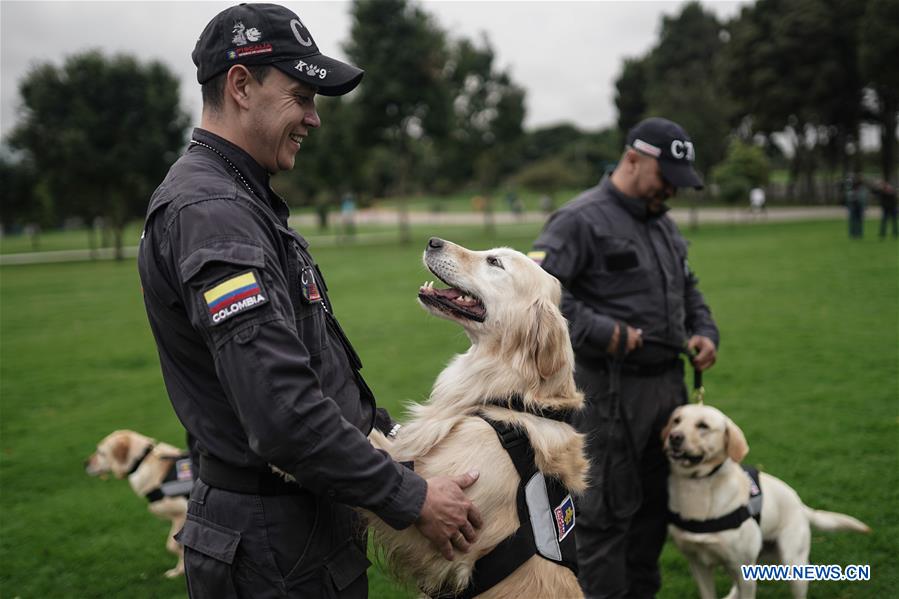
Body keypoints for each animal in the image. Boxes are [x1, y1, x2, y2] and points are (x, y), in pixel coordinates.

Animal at [84, 428, 192, 580]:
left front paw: (180, 570)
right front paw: (178, 571)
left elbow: (171, 545)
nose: (85, 463)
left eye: (101, 452)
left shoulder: (182, 514)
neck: (142, 461)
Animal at [664, 404, 868, 599]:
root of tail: (801, 505)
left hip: (792, 564)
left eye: (703, 426)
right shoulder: (698, 565)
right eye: (676, 420)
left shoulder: (743, 568)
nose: (674, 437)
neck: (698, 488)